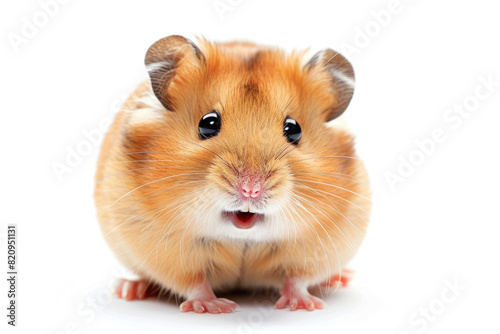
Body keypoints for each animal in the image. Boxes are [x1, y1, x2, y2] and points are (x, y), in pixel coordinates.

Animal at [94, 34, 372, 314]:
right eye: (208, 123)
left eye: (294, 130)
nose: (250, 189)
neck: (242, 237)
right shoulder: (165, 251)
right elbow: (193, 281)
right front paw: (215, 308)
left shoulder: (314, 247)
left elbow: (297, 278)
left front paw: (304, 305)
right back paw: (129, 289)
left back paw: (341, 278)